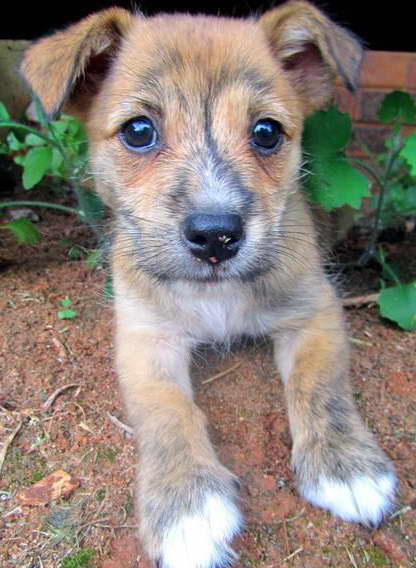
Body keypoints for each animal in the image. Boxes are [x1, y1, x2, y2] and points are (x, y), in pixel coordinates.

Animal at [21, 2, 398, 564]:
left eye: (266, 132)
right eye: (139, 130)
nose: (216, 236)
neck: (215, 293)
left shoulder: (315, 313)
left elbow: (319, 385)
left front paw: (345, 467)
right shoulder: (145, 339)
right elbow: (168, 411)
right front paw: (187, 507)